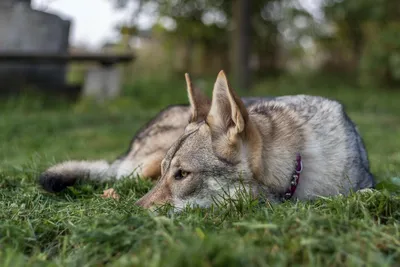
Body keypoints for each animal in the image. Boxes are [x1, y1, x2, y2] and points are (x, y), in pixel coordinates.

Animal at [39, 72, 374, 210]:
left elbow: (363, 193)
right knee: (118, 177)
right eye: (168, 173)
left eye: (182, 174)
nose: (134, 212)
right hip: (145, 163)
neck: (299, 165)